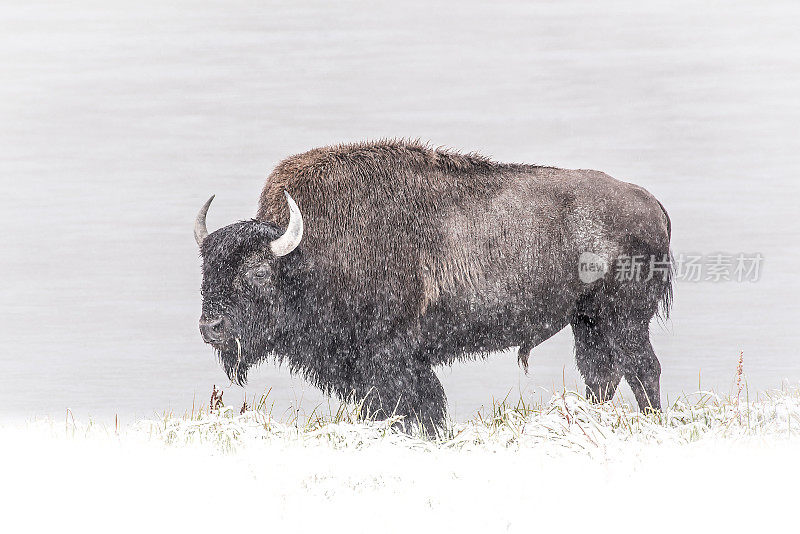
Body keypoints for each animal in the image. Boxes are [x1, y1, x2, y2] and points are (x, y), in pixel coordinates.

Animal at [194, 140, 668, 434]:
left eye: (257, 271)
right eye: (207, 272)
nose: (210, 328)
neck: (308, 253)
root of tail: (651, 204)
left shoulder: (392, 359)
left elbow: (417, 404)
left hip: (626, 318)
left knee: (642, 369)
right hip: (588, 320)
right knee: (601, 373)